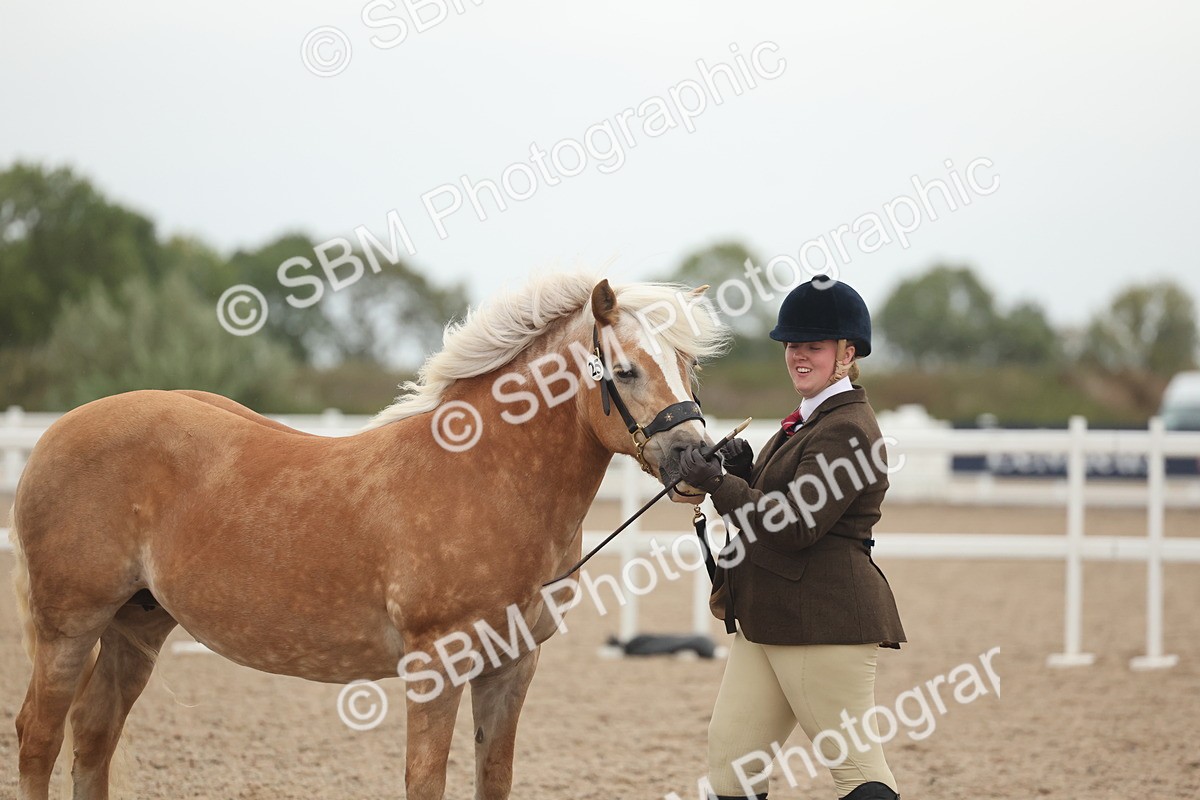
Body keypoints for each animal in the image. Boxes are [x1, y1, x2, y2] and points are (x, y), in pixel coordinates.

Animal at [8, 273, 730, 800]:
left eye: (689, 367)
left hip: (137, 623)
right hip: (69, 624)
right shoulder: (436, 663)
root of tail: (52, 433)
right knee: (39, 738)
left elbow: (493, 775)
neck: (484, 475)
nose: (700, 459)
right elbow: (425, 780)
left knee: (93, 736)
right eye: (627, 369)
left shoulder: (512, 664)